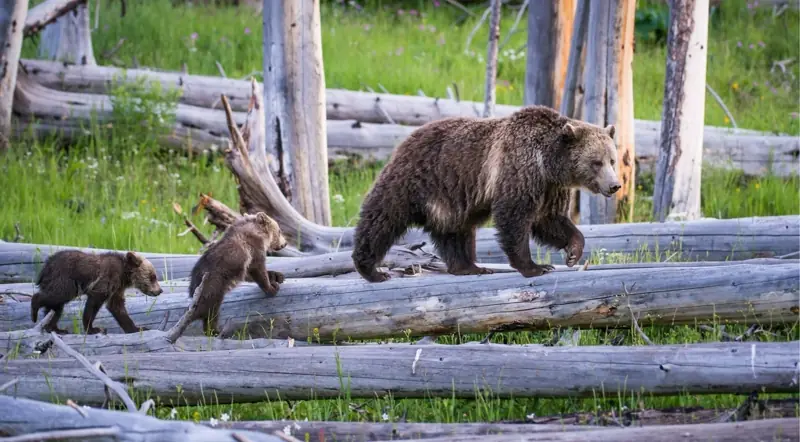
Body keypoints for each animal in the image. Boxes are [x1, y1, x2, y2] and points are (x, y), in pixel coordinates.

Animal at [31, 250, 164, 334]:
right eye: (153, 276)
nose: (160, 290)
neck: (124, 275)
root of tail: (46, 266)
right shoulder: (106, 281)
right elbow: (93, 304)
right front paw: (93, 329)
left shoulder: (117, 288)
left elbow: (117, 307)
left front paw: (137, 328)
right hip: (64, 280)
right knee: (56, 296)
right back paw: (35, 311)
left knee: (56, 308)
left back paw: (55, 328)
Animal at [351, 105, 621, 282]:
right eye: (596, 162)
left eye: (612, 160)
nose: (614, 185)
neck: (548, 163)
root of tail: (409, 136)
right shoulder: (518, 171)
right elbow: (514, 217)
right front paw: (534, 267)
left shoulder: (550, 188)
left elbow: (550, 220)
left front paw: (573, 251)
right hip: (414, 179)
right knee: (383, 217)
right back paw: (371, 269)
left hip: (451, 197)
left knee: (456, 231)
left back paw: (469, 266)